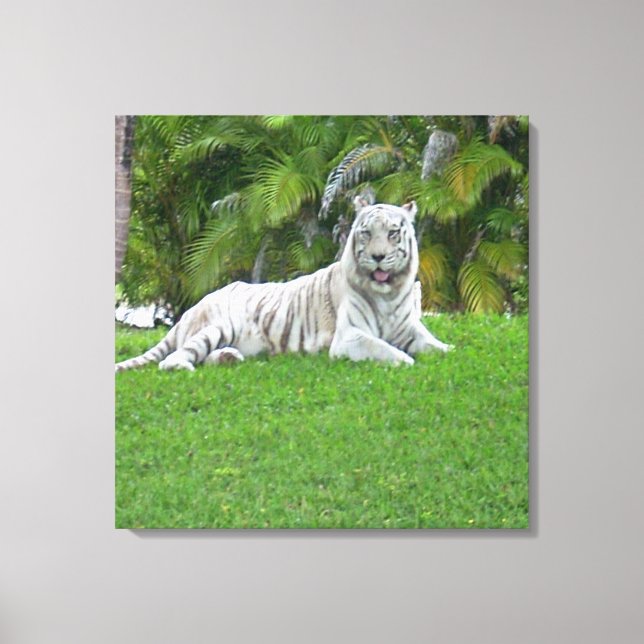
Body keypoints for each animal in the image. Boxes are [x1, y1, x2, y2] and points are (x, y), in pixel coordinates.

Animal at [115, 199, 451, 373]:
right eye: (367, 233)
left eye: (393, 232)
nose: (378, 257)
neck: (388, 294)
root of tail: (189, 309)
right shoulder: (350, 337)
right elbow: (385, 349)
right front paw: (407, 361)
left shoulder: (410, 330)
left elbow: (438, 347)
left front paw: (448, 350)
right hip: (217, 326)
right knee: (173, 360)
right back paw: (187, 366)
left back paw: (228, 358)